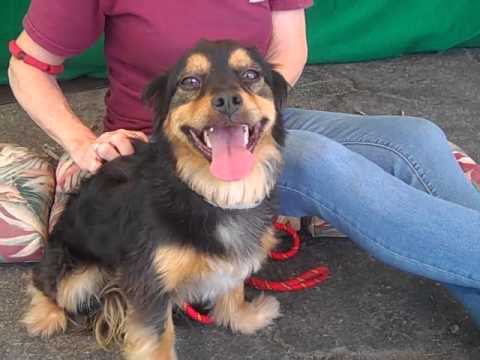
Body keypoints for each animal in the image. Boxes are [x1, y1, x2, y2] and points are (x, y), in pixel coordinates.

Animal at [22, 40, 288, 360]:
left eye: (251, 75)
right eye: (190, 82)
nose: (227, 100)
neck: (209, 191)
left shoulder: (237, 255)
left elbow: (233, 286)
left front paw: (243, 317)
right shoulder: (150, 280)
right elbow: (159, 338)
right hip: (76, 273)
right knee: (44, 282)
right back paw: (45, 316)